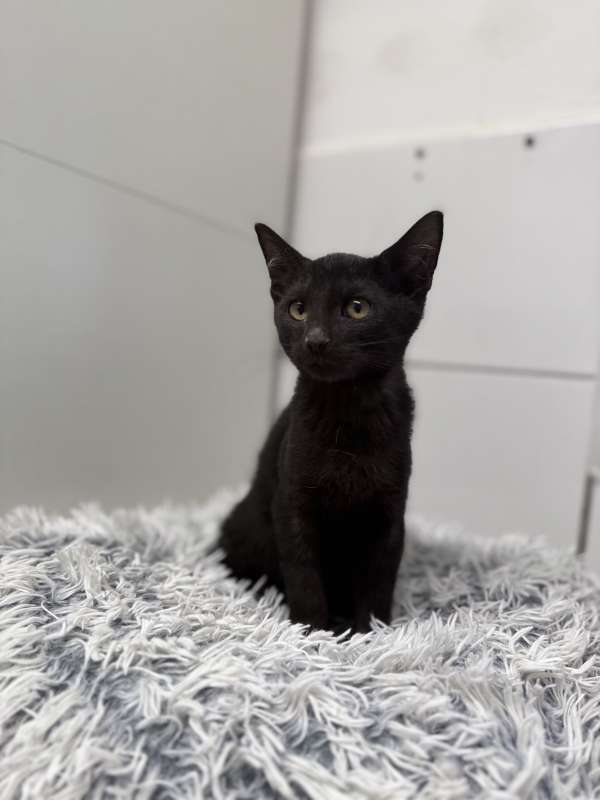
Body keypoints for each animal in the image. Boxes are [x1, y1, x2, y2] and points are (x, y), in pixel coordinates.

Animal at [217, 211, 443, 633]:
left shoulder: (389, 512)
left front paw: (373, 632)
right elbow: (304, 571)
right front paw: (311, 631)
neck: (347, 410)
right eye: (298, 310)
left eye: (357, 308)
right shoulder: (291, 504)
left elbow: (378, 578)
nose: (316, 340)